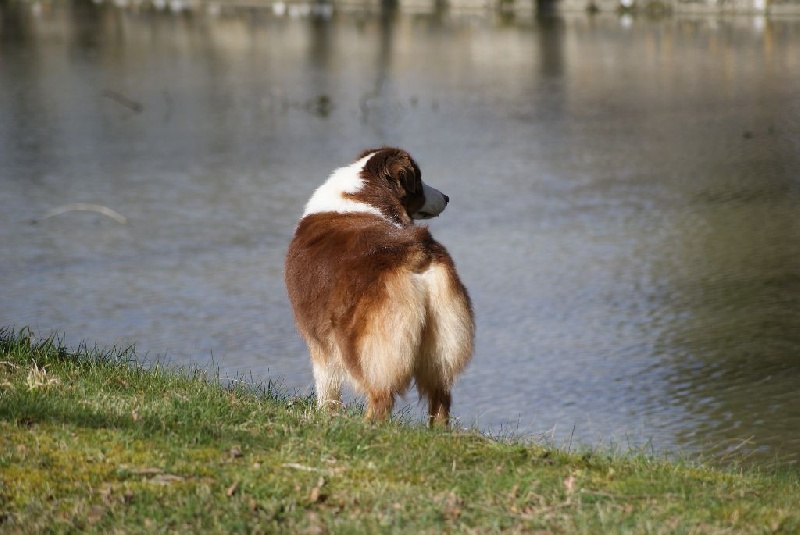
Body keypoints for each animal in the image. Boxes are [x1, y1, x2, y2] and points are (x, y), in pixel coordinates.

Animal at [284, 148, 476, 428]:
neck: (364, 194)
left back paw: (365, 430)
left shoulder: (319, 340)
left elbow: (327, 389)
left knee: (381, 396)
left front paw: (325, 419)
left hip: (370, 348)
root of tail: (416, 254)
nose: (447, 197)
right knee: (440, 397)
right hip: (442, 344)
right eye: (419, 178)